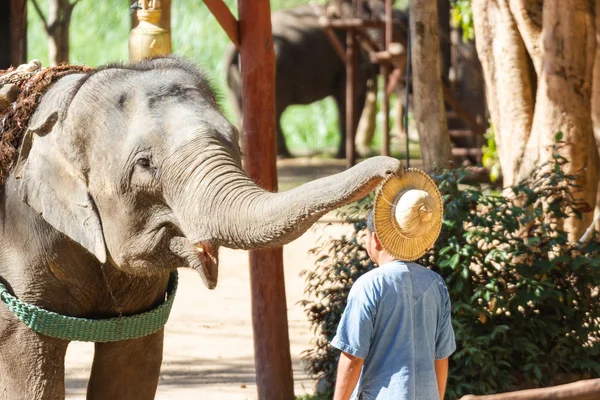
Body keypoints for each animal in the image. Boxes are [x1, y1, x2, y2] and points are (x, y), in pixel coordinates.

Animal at [0, 57, 404, 400]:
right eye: (145, 164)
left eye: (235, 138)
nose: (394, 167)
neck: (65, 103)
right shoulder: (21, 240)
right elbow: (29, 367)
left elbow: (131, 364)